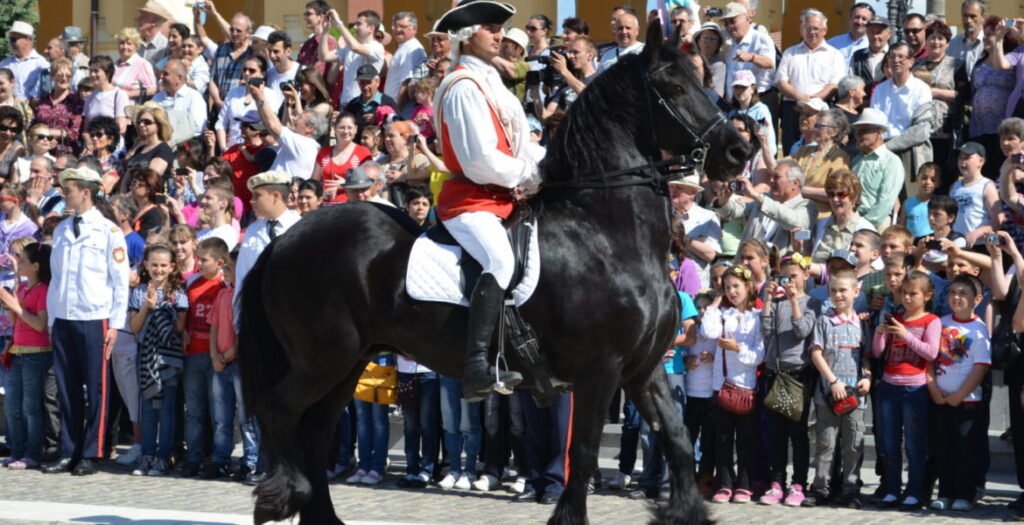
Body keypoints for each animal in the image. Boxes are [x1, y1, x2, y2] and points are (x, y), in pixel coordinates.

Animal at [239, 22, 753, 523]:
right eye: (673, 85)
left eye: (703, 78)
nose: (740, 151)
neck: (606, 232)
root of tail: (285, 239)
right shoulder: (601, 369)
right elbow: (586, 453)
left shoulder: (643, 370)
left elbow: (678, 441)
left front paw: (685, 511)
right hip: (325, 357)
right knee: (280, 410)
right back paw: (285, 495)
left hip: (347, 360)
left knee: (314, 429)